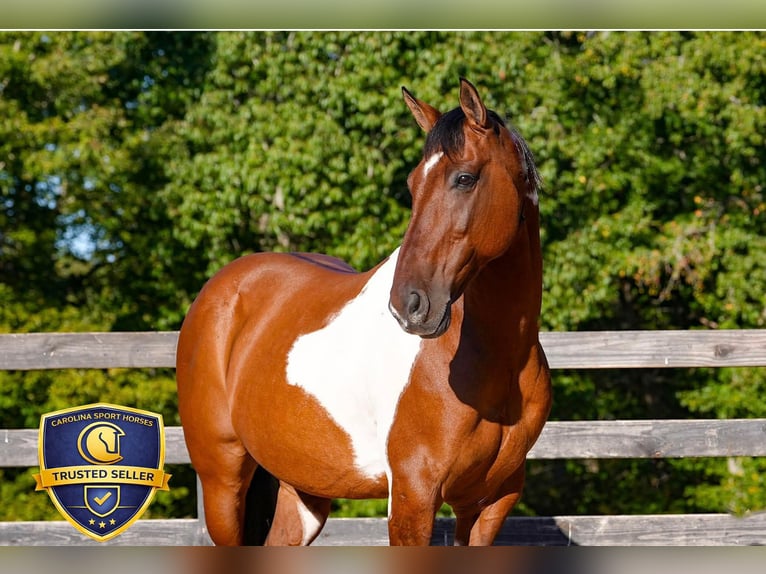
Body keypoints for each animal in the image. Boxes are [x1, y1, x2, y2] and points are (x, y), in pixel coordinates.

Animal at [176, 78, 551, 546]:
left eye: (464, 178)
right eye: (412, 184)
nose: (408, 304)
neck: (497, 362)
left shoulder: (490, 503)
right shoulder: (412, 496)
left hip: (304, 491)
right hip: (222, 482)